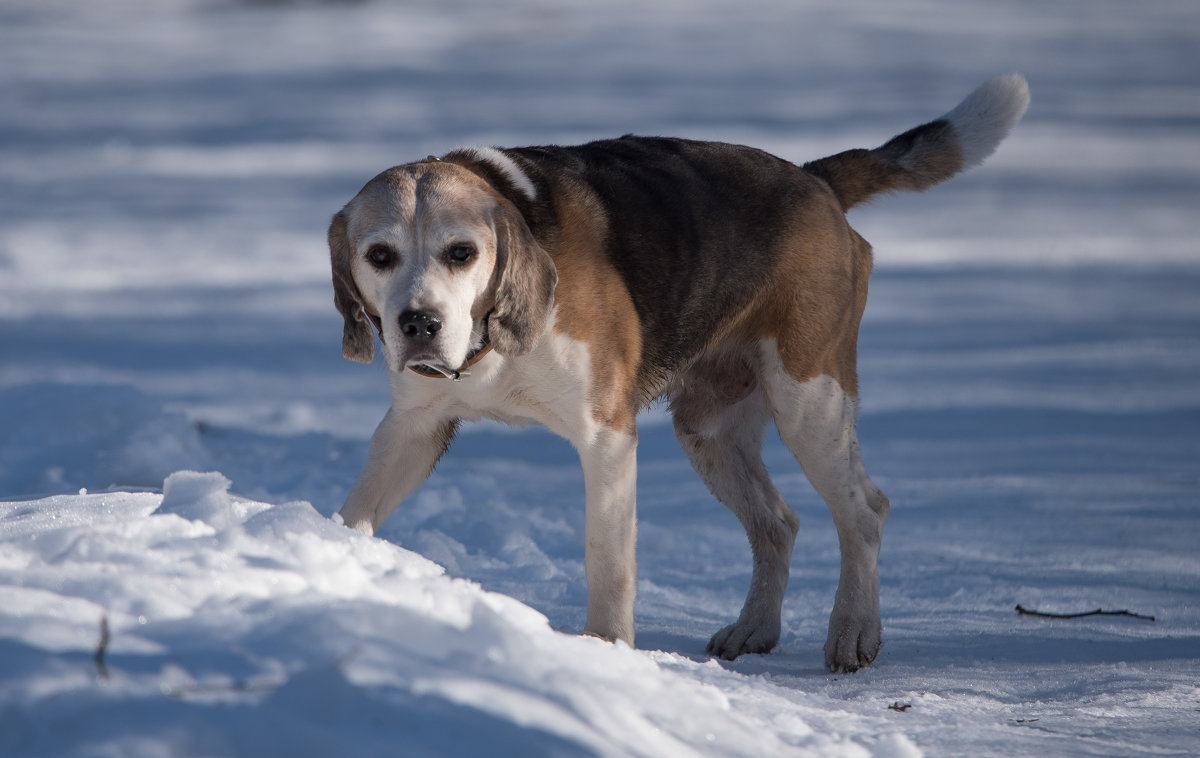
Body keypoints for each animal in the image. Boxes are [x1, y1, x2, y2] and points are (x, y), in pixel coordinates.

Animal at [328, 74, 1032, 671]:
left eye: (462, 253)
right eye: (379, 256)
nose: (418, 323)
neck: (489, 338)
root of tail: (813, 181)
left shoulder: (606, 438)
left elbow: (608, 563)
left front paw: (605, 650)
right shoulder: (413, 429)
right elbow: (358, 508)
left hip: (810, 401)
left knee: (865, 511)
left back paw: (854, 630)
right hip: (708, 430)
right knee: (778, 523)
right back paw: (755, 628)